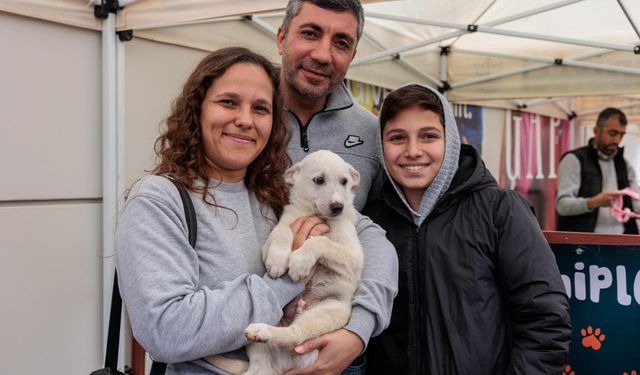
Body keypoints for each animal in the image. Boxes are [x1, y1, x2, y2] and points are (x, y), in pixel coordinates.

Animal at [208, 151, 362, 375]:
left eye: (344, 181)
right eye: (319, 180)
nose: (338, 207)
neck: (315, 215)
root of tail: (287, 363)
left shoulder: (355, 258)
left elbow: (321, 241)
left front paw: (299, 261)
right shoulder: (270, 242)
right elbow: (284, 231)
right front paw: (278, 260)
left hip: (328, 310)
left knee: (295, 335)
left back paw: (265, 331)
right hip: (270, 318)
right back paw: (261, 333)